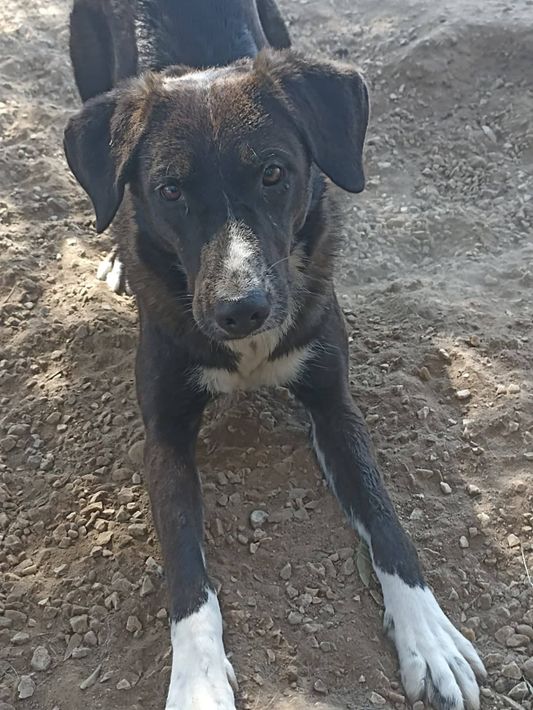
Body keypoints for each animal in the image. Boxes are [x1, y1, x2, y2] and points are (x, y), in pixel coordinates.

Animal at [64, 1, 486, 708]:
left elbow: (386, 515)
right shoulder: (164, 435)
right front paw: (199, 680)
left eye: (273, 173)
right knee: (106, 200)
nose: (243, 309)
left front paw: (430, 638)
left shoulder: (335, 404)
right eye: (170, 190)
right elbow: (185, 566)